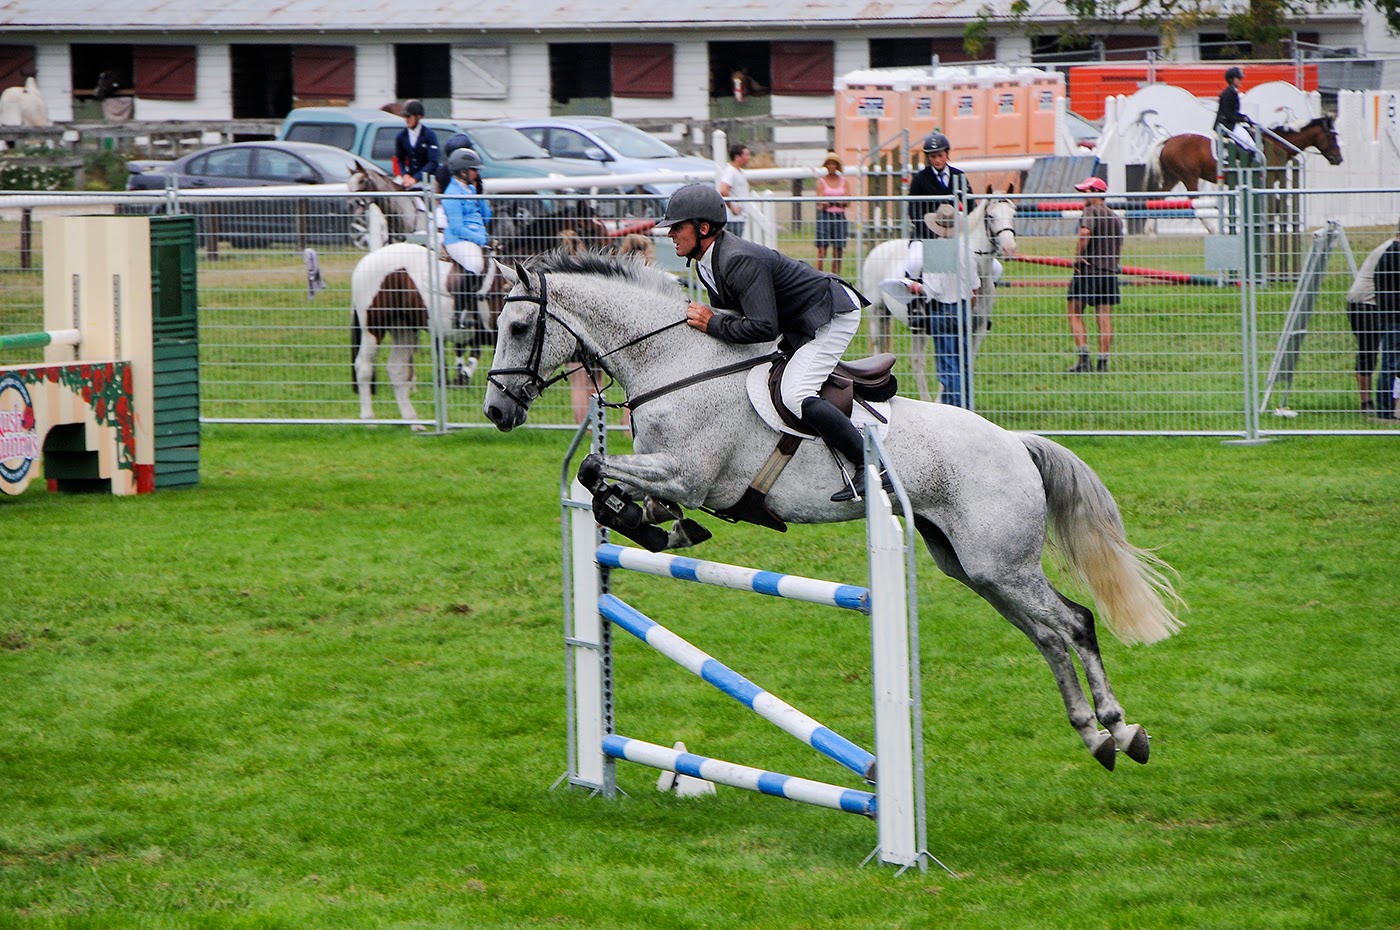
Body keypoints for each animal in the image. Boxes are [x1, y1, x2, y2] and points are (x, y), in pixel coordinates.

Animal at [350, 241, 505, 426]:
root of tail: (365, 261)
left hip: (404, 329)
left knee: (397, 369)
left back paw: (412, 421)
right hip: (373, 329)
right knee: (364, 367)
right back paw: (369, 419)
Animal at [483, 252, 1184, 771]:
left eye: (517, 328)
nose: (496, 411)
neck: (676, 365)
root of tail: (1015, 443)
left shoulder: (689, 472)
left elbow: (596, 471)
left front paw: (646, 523)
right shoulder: (668, 474)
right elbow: (609, 484)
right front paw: (656, 529)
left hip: (1002, 563)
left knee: (1075, 623)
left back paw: (1121, 731)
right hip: (974, 567)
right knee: (1048, 635)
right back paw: (1095, 737)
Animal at [859, 195, 1018, 402]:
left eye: (1014, 214)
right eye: (991, 216)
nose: (1009, 249)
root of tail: (879, 248)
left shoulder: (978, 329)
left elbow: (966, 366)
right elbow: (951, 367)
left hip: (913, 326)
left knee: (916, 361)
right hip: (877, 313)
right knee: (879, 347)